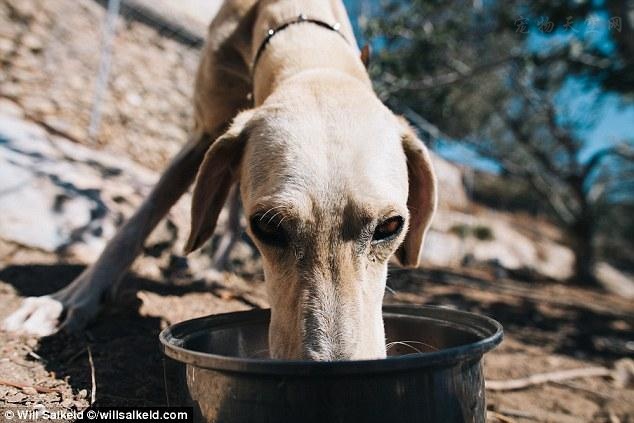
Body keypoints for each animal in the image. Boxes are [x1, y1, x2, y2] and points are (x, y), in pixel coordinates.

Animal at [3, 0, 434, 362]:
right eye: (267, 227)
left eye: (390, 226)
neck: (306, 44)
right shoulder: (205, 133)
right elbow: (138, 221)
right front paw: (71, 297)